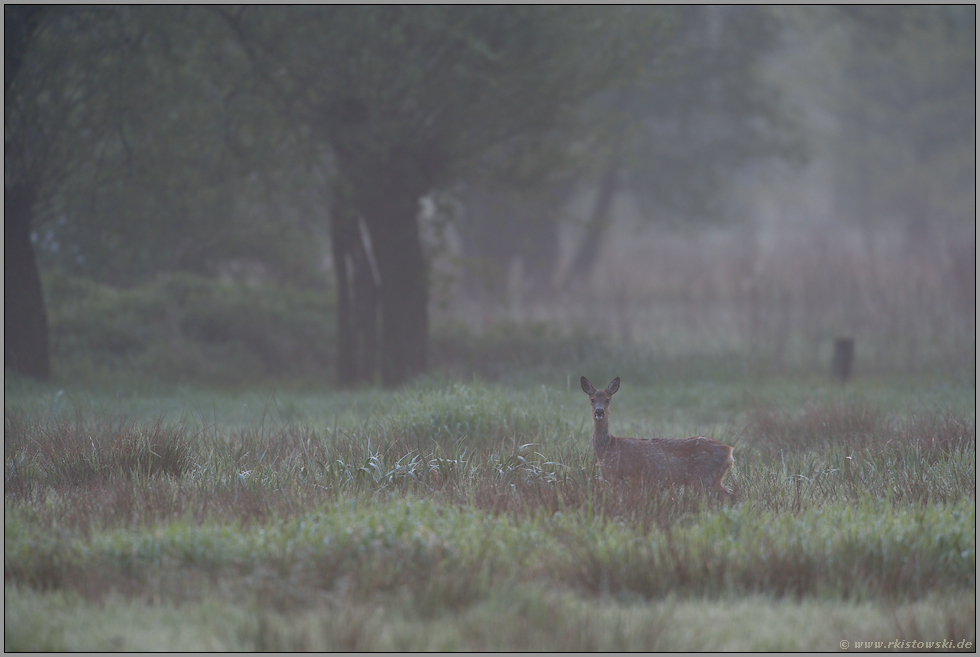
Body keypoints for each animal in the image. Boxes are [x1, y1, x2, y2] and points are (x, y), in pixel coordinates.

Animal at [580, 374, 732, 498]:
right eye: (592, 400)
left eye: (607, 400)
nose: (599, 411)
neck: (607, 447)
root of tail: (729, 451)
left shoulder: (619, 477)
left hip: (705, 477)